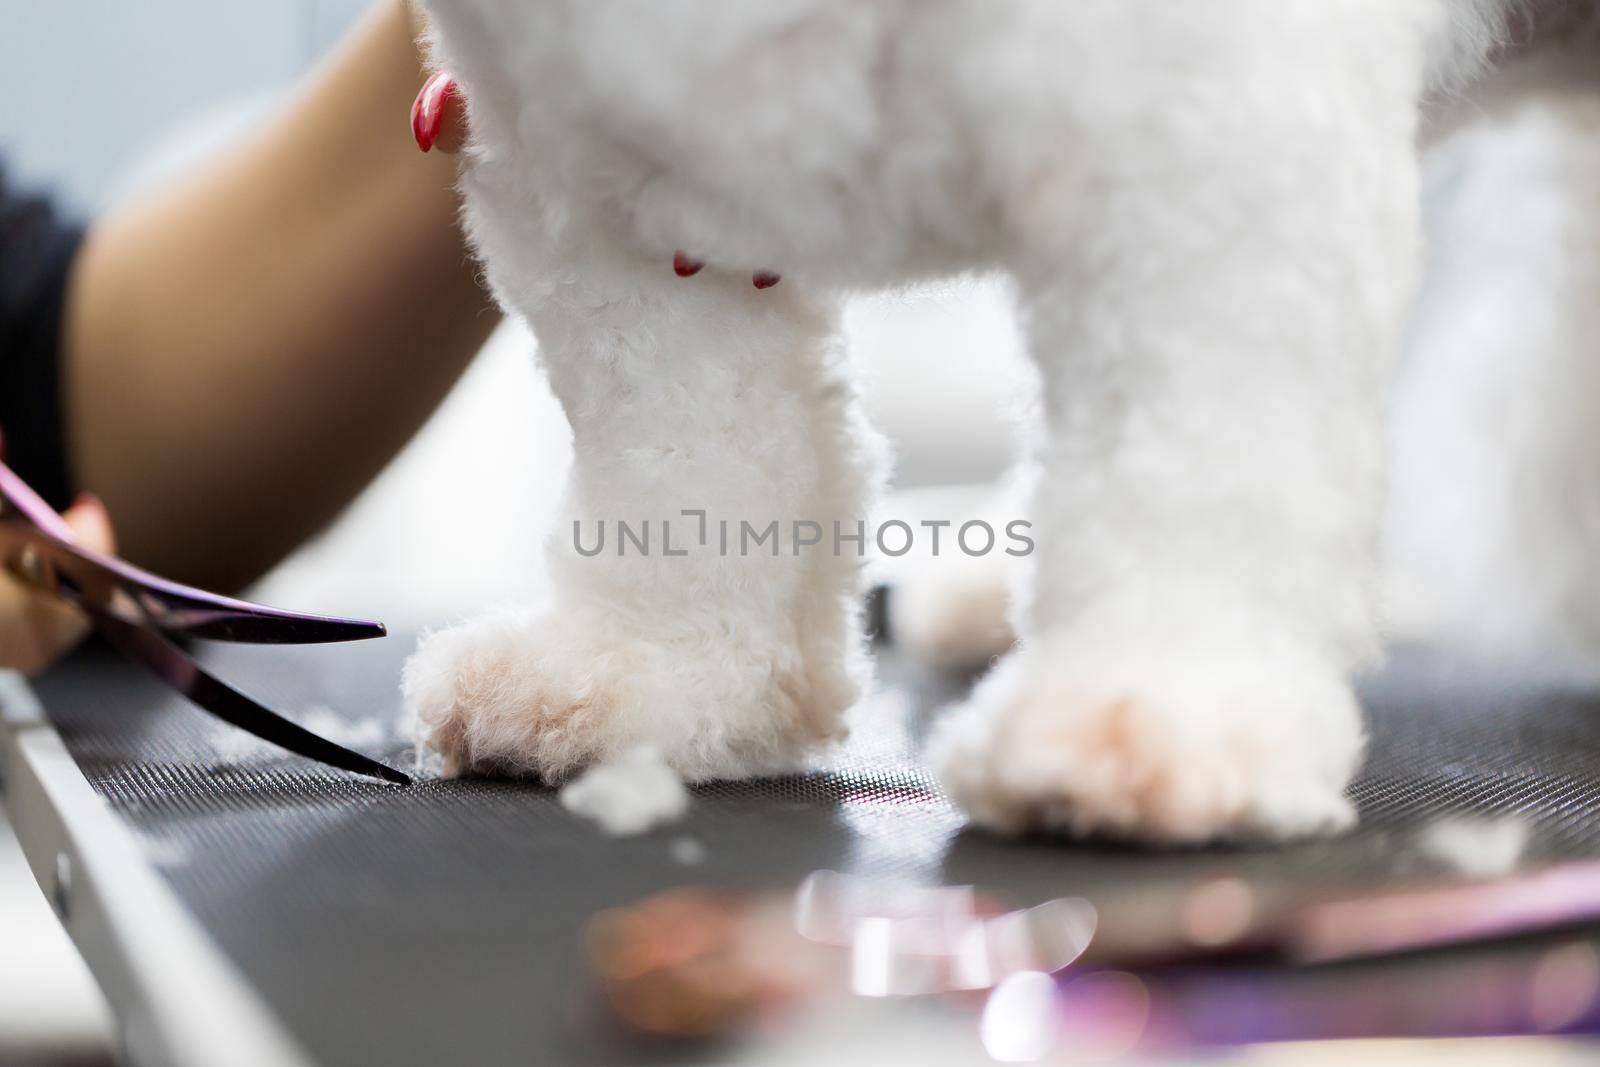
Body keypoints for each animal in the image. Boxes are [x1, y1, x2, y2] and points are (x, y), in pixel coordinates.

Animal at [403, 4, 1600, 844]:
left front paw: (1148, 707)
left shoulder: (1202, 155)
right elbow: (682, 457)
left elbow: (1196, 462)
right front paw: (658, 677)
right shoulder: (605, 189)